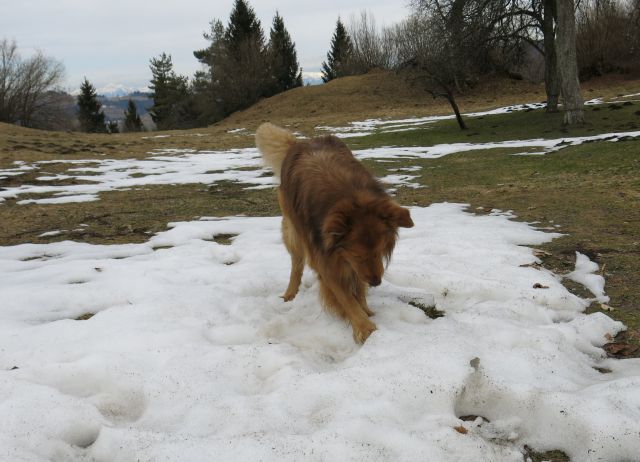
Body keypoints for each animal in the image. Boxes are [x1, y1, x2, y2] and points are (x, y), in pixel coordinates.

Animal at [256, 122, 416, 342]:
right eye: (358, 254)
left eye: (379, 251)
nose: (376, 282)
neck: (348, 196)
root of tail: (298, 142)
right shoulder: (328, 258)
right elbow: (345, 297)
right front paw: (365, 328)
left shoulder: (353, 263)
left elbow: (357, 288)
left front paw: (366, 311)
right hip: (293, 231)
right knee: (296, 264)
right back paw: (290, 293)